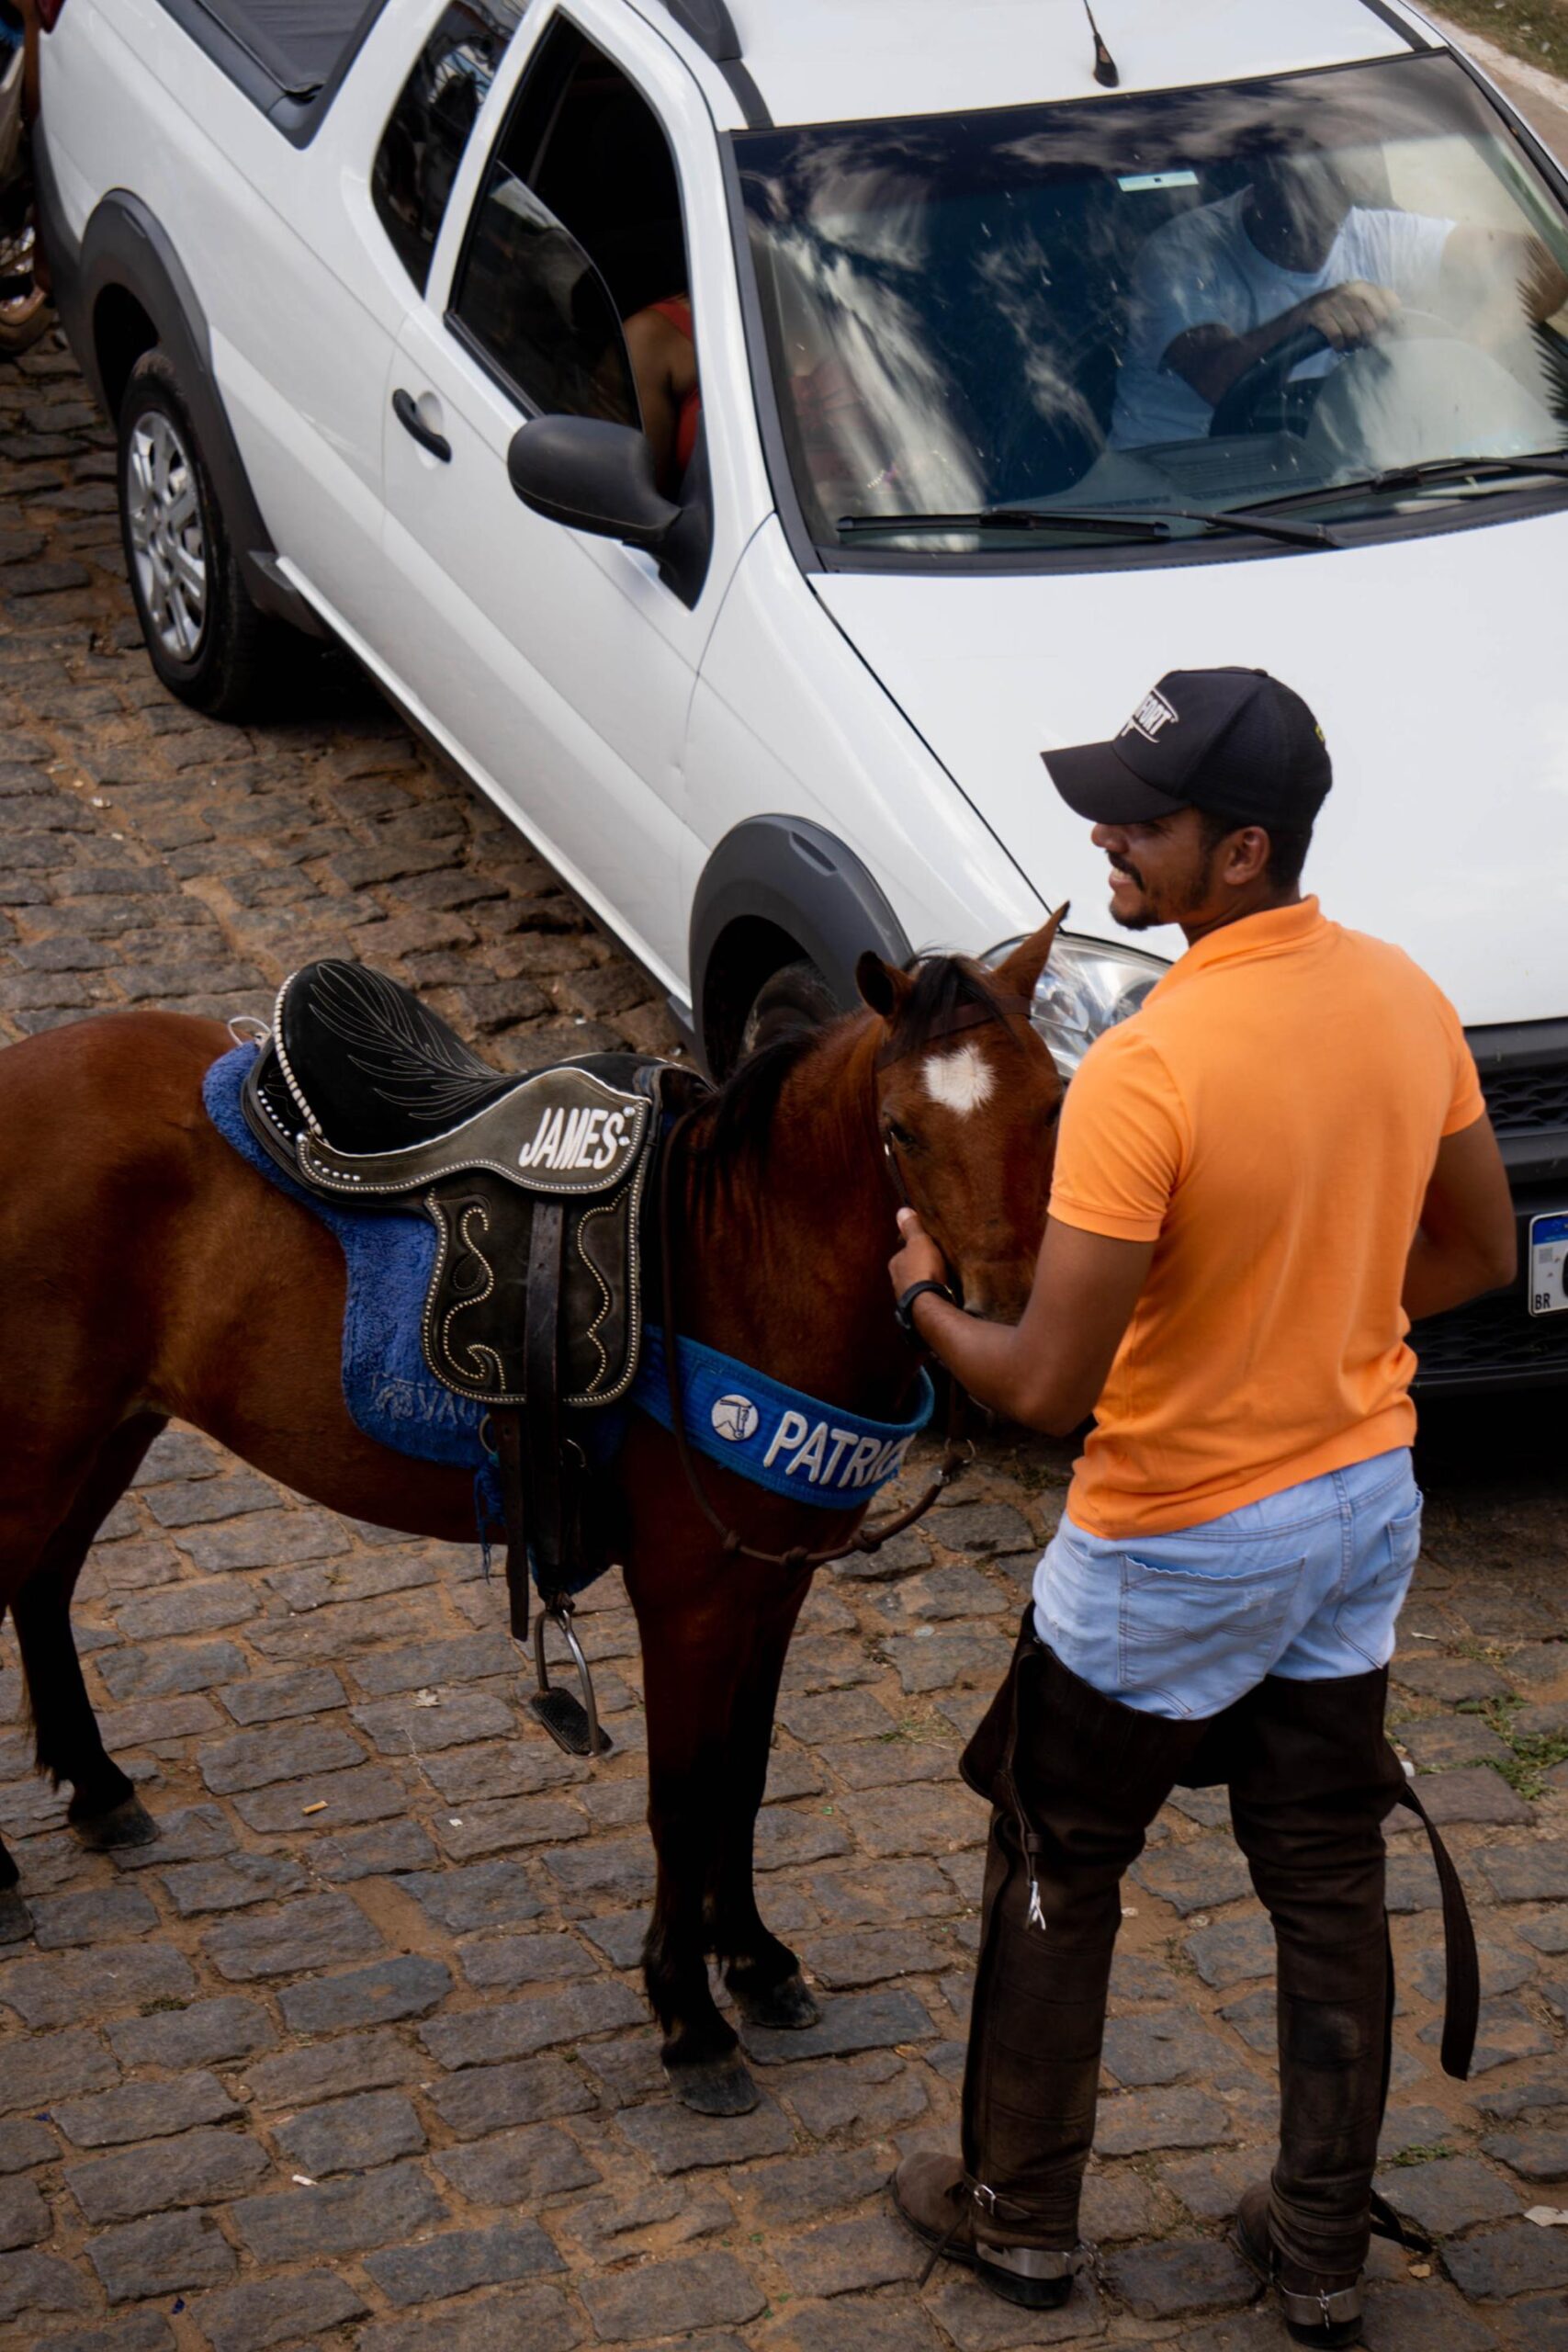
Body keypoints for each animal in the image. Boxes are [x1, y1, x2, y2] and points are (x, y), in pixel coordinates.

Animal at [0, 913, 1065, 2112]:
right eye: (900, 1130)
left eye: (1054, 1105)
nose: (1005, 1315)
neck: (736, 1258)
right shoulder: (690, 1595)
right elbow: (684, 1793)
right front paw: (690, 2016)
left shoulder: (779, 1577)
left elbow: (744, 1777)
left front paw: (753, 1959)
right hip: (42, 1428)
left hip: (110, 1422)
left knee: (44, 1584)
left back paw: (97, 1788)